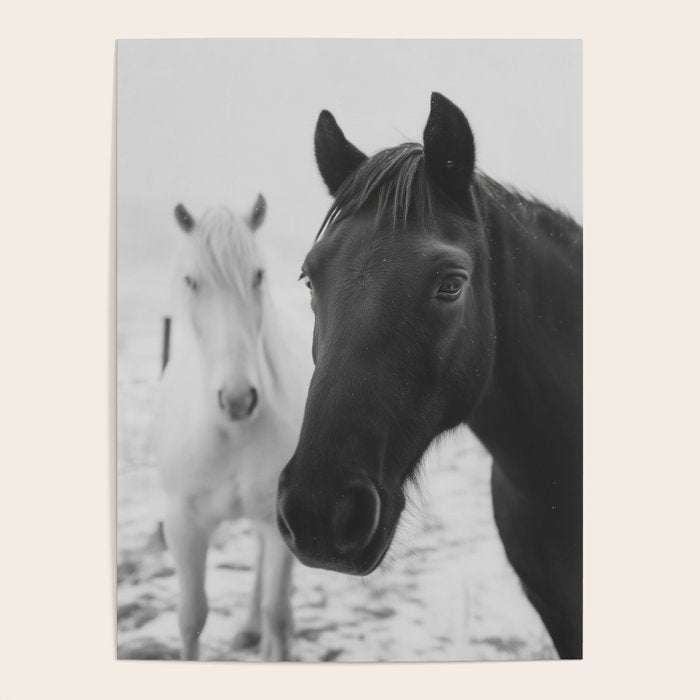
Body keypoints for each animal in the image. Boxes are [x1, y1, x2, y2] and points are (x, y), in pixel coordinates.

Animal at [155, 194, 310, 661]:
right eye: (192, 281)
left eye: (257, 275)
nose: (239, 400)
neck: (230, 432)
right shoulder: (183, 525)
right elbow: (191, 619)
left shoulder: (279, 523)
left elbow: (276, 611)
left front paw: (277, 641)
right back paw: (248, 629)